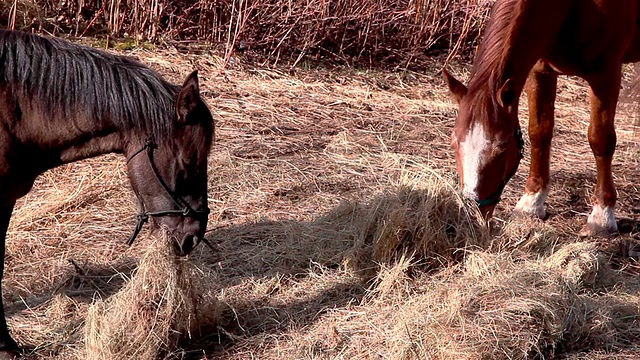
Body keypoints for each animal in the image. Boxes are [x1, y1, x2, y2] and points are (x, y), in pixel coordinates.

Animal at [442, 0, 640, 236]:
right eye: (453, 143)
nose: (472, 213)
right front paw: (531, 203)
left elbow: (600, 140)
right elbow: (539, 132)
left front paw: (602, 216)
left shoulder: (605, 75)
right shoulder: (539, 71)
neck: (572, 7)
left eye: (501, 148)